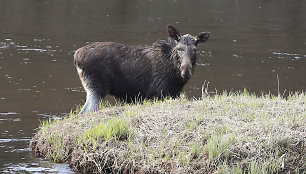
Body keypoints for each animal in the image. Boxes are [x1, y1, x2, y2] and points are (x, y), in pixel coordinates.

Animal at [74, 24, 209, 114]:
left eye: (195, 49)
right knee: (85, 112)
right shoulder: (159, 94)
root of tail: (77, 56)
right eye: (179, 48)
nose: (186, 70)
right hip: (96, 88)